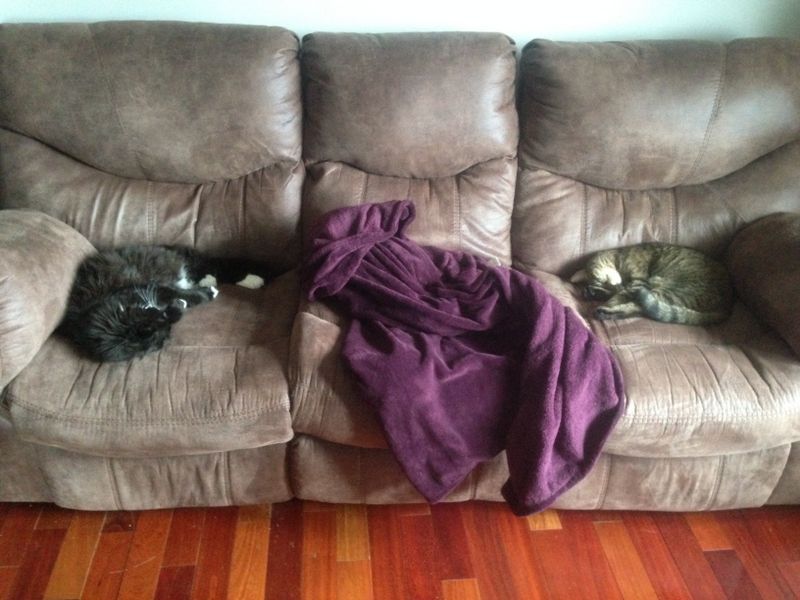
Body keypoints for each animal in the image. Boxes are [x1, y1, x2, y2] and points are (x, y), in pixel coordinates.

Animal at [59, 245, 273, 362]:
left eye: (148, 309)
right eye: (160, 319)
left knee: (218, 266)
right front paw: (186, 302)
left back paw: (252, 279)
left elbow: (183, 293)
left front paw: (204, 294)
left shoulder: (151, 288)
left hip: (190, 264)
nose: (173, 311)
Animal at [572, 242, 734, 325]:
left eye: (604, 281)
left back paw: (604, 311)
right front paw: (596, 292)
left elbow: (619, 295)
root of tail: (728, 303)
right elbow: (619, 292)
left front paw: (606, 297)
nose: (614, 285)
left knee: (639, 306)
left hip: (664, 289)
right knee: (641, 308)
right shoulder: (630, 285)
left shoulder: (638, 282)